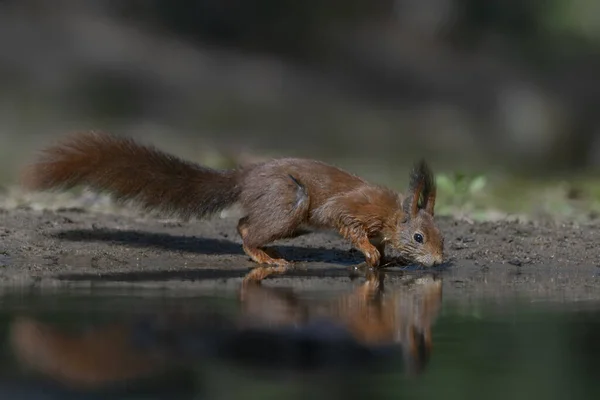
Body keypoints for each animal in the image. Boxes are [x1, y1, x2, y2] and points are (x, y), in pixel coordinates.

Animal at [21, 131, 442, 268]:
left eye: (443, 236)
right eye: (419, 237)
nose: (439, 261)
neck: (392, 215)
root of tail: (246, 175)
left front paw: (385, 257)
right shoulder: (350, 209)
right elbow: (348, 225)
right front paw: (370, 254)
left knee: (243, 223)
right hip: (292, 202)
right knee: (246, 228)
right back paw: (264, 256)